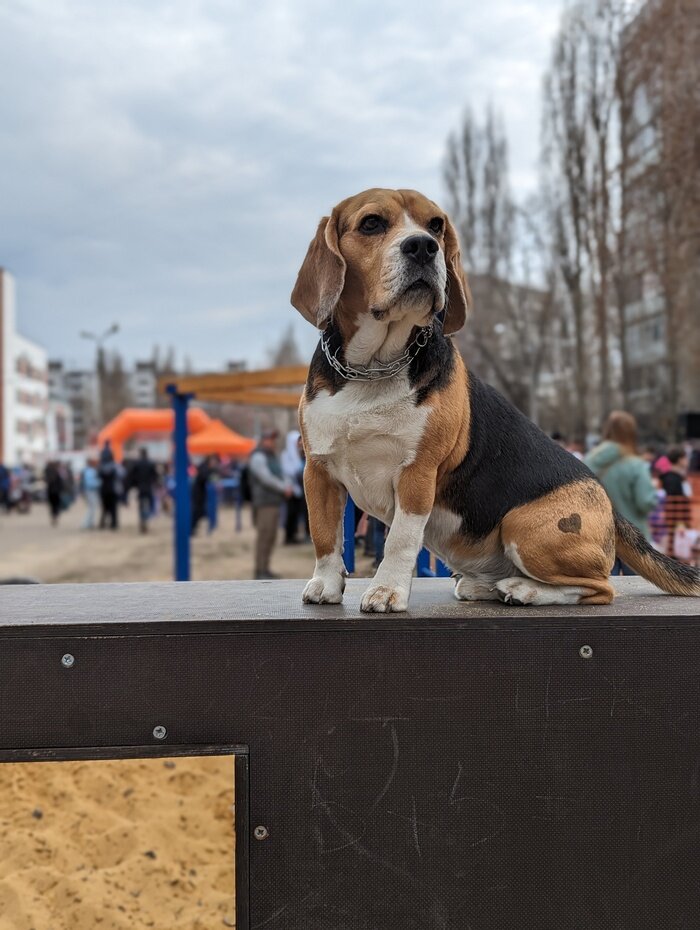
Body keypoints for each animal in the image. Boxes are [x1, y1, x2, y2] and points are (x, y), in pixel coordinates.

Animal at [288, 188, 696, 608]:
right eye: (371, 223)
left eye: (436, 225)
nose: (424, 246)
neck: (373, 368)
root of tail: (610, 507)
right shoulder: (317, 471)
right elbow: (324, 536)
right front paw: (326, 584)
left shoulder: (416, 475)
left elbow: (399, 541)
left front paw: (387, 591)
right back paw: (486, 585)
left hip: (523, 525)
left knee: (600, 587)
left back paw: (524, 589)